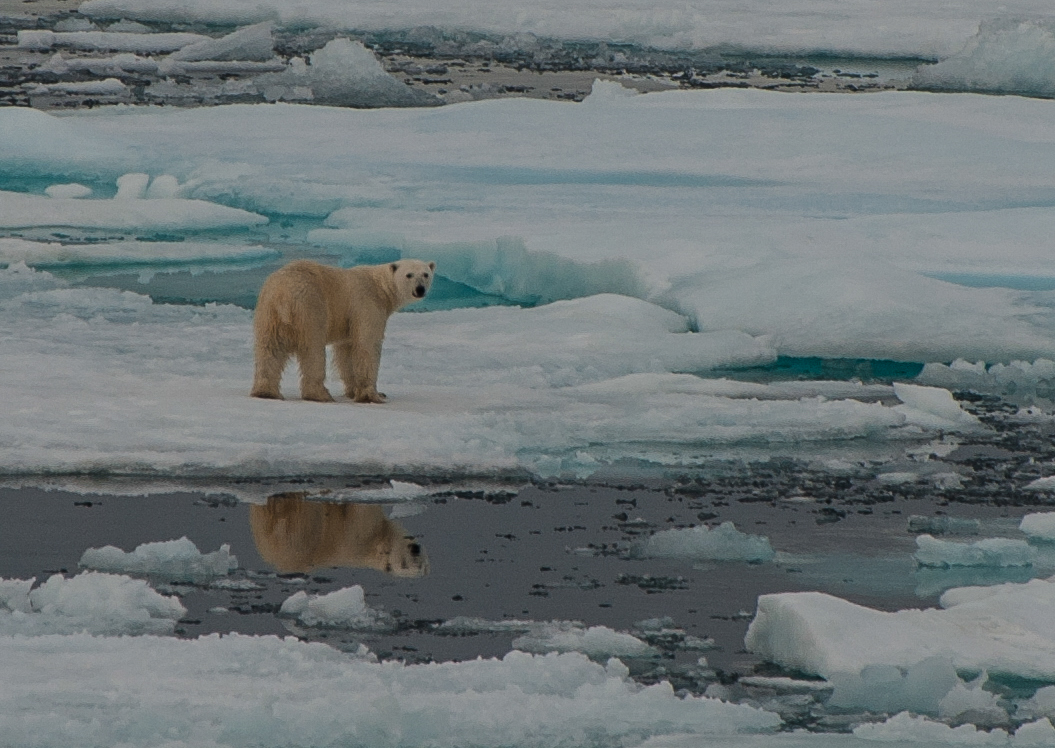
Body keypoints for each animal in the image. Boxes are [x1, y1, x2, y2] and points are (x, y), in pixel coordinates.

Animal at [247, 489, 428, 578]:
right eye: (403, 564)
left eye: (423, 565)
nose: (415, 549)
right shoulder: (360, 532)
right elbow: (357, 512)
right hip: (304, 529)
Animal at [251, 261, 432, 405]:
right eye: (409, 275)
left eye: (426, 274)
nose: (420, 289)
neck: (380, 287)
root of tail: (283, 294)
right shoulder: (366, 304)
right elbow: (367, 345)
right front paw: (374, 395)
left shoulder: (348, 323)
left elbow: (346, 352)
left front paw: (354, 391)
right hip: (310, 308)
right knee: (313, 350)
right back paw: (320, 394)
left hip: (268, 312)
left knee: (270, 349)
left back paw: (266, 392)